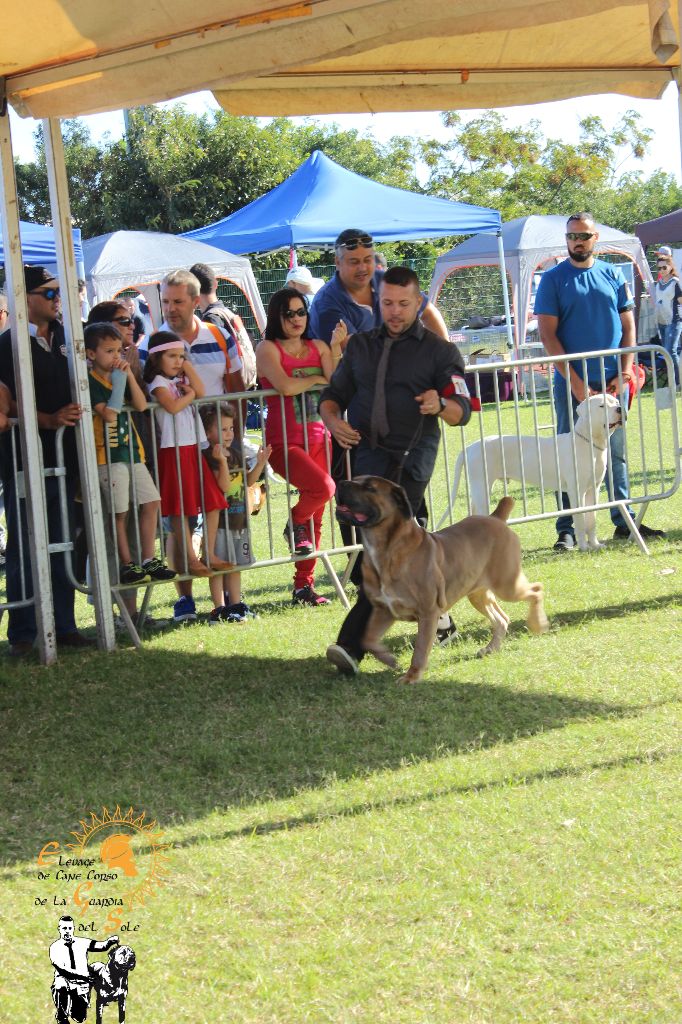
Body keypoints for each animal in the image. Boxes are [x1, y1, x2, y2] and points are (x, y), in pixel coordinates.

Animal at [335, 476, 548, 683]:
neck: (386, 549)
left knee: (536, 590)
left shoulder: (427, 613)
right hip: (477, 593)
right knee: (502, 618)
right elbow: (368, 638)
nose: (341, 483)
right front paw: (388, 659)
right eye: (355, 478)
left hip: (507, 584)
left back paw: (538, 624)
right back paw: (490, 648)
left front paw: (411, 677)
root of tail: (496, 518)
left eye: (370, 488)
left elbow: (420, 650)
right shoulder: (383, 610)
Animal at [438, 393, 622, 551]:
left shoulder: (593, 490)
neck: (589, 443)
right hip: (482, 488)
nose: (620, 409)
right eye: (601, 406)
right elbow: (581, 520)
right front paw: (584, 547)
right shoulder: (577, 492)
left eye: (616, 402)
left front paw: (595, 544)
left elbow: (592, 520)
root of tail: (469, 448)